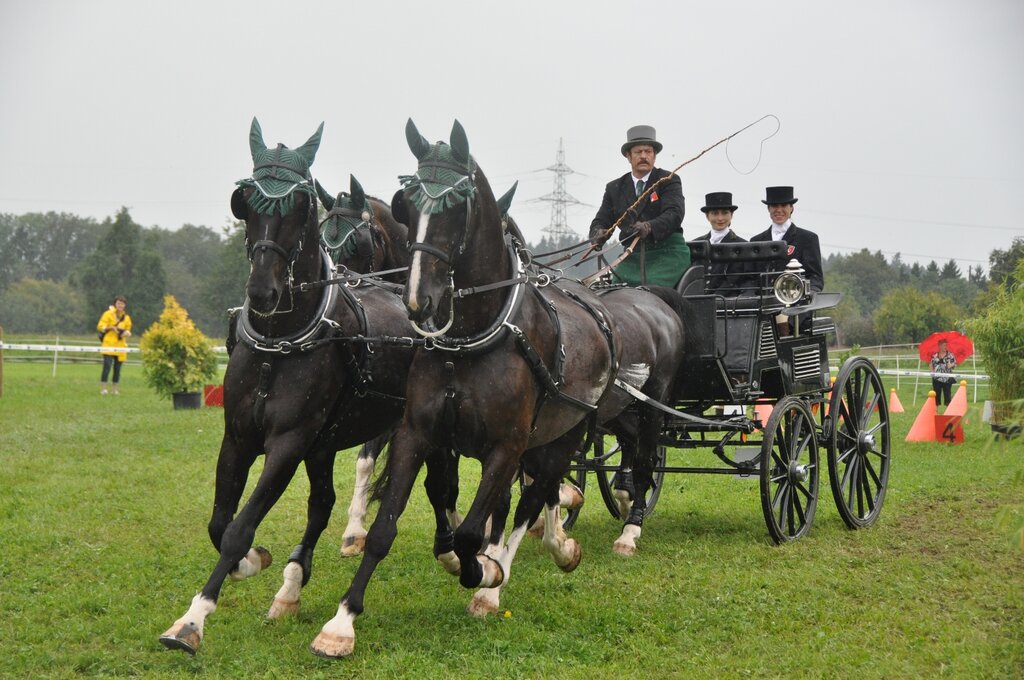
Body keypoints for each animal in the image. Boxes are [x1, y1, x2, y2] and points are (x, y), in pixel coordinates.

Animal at [158, 119, 419, 655]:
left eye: (299, 208)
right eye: (246, 203)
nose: (263, 291)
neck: (280, 343)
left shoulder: (288, 443)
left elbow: (239, 526)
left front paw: (193, 620)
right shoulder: (238, 438)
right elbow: (221, 523)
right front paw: (252, 565)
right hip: (324, 444)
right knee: (322, 506)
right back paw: (292, 587)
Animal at [307, 122, 684, 659]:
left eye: (456, 206)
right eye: (407, 205)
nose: (419, 302)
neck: (471, 337)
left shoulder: (505, 446)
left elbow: (473, 528)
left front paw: (486, 569)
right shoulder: (418, 432)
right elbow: (394, 520)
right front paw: (342, 621)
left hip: (614, 418)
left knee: (607, 471)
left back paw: (601, 536)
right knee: (560, 480)